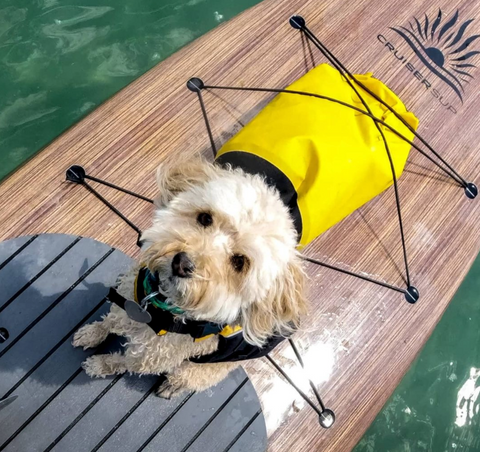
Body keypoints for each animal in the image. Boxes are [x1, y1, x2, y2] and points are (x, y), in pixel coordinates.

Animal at [73, 157, 306, 398]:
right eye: (205, 218)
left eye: (239, 262)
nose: (182, 264)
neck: (156, 307)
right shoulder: (125, 304)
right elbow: (109, 321)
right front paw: (91, 333)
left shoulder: (148, 358)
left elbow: (122, 363)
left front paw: (100, 365)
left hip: (203, 370)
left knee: (187, 377)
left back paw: (171, 386)